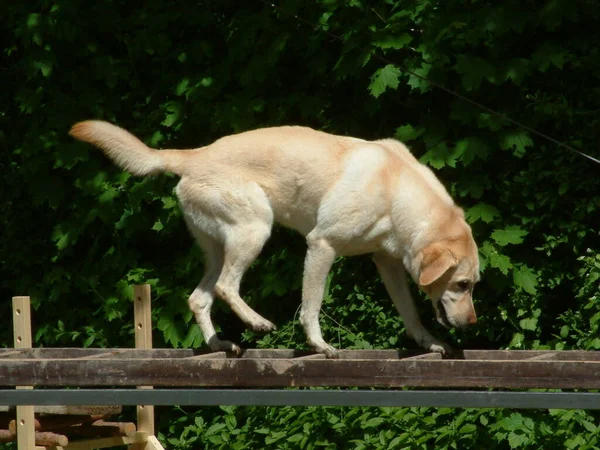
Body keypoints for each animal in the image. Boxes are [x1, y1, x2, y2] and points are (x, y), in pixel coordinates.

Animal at [69, 121, 478, 356]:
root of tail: (194, 156)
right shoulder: (321, 245)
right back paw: (258, 323)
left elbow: (410, 313)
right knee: (225, 287)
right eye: (461, 284)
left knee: (199, 298)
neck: (396, 192)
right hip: (255, 229)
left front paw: (429, 343)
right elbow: (311, 306)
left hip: (220, 246)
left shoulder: (387, 263)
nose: (473, 324)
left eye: (473, 284)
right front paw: (318, 344)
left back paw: (220, 344)